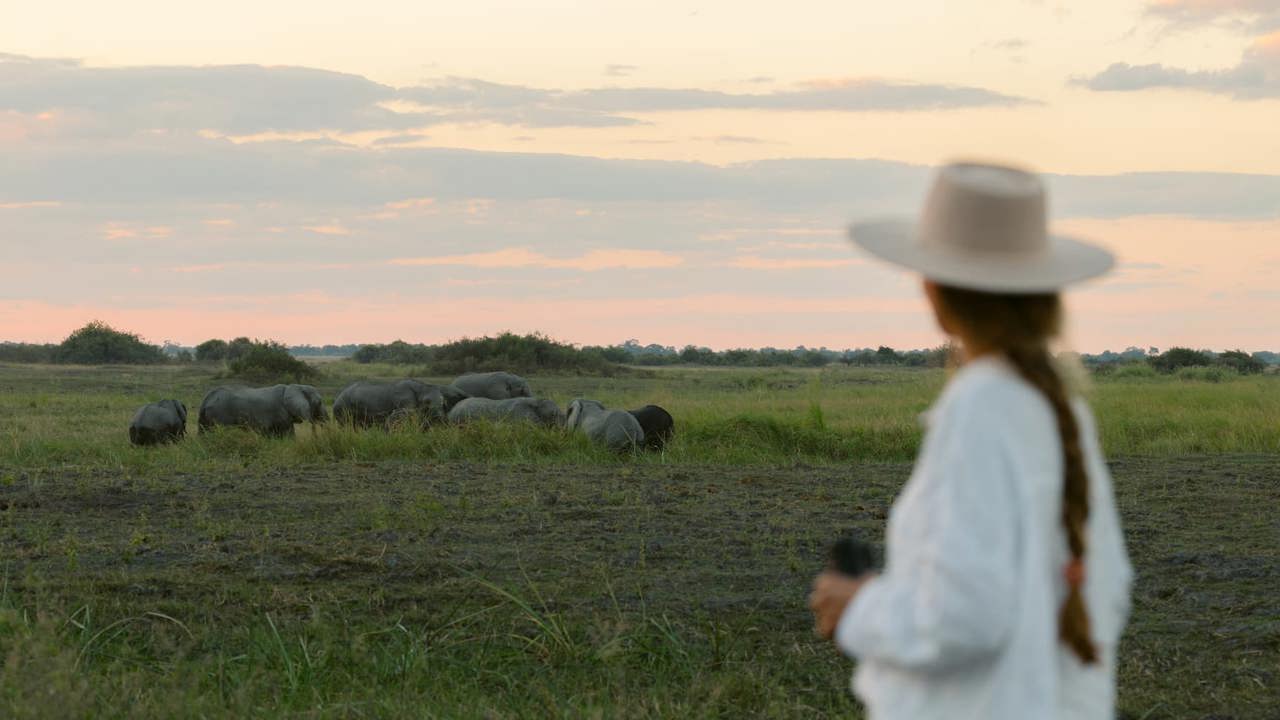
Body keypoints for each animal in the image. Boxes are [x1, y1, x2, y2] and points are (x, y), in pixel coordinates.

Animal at [198, 384, 327, 437]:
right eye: (320, 402)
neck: (295, 387)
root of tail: (206, 399)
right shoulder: (281, 413)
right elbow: (288, 433)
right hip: (219, 414)